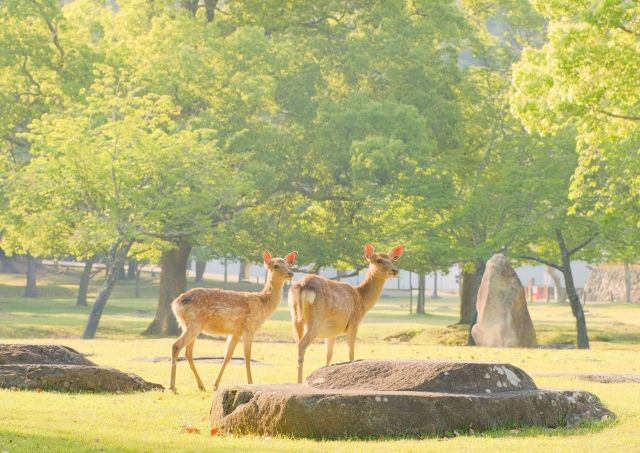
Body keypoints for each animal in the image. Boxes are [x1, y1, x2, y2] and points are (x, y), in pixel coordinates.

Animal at [169, 250, 298, 392]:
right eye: (276, 266)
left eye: (288, 264)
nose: (291, 273)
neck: (263, 305)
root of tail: (175, 303)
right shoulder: (249, 327)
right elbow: (247, 355)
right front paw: (250, 382)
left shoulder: (235, 331)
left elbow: (228, 356)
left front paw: (215, 385)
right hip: (194, 324)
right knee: (176, 346)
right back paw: (173, 387)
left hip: (189, 325)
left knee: (188, 352)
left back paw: (201, 386)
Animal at [288, 243, 404, 383]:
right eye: (379, 260)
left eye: (392, 260)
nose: (395, 270)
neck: (361, 298)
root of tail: (303, 285)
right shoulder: (354, 321)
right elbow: (351, 352)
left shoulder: (331, 332)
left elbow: (329, 356)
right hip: (316, 319)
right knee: (302, 345)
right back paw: (299, 382)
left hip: (295, 318)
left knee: (297, 344)